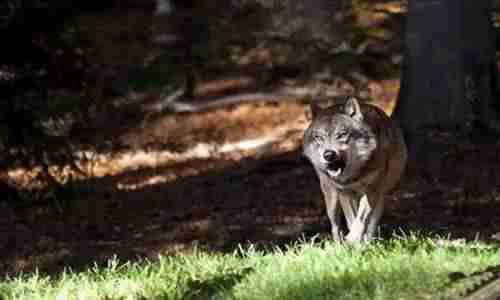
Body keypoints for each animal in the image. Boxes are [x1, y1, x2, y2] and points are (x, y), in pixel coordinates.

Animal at [300, 97, 406, 243]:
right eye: (319, 137)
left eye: (342, 135)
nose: (328, 155)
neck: (355, 176)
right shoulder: (346, 193)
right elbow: (352, 219)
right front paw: (353, 240)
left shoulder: (372, 190)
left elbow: (361, 218)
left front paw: (356, 239)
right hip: (331, 198)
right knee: (335, 225)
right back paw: (339, 245)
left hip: (379, 197)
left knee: (372, 221)